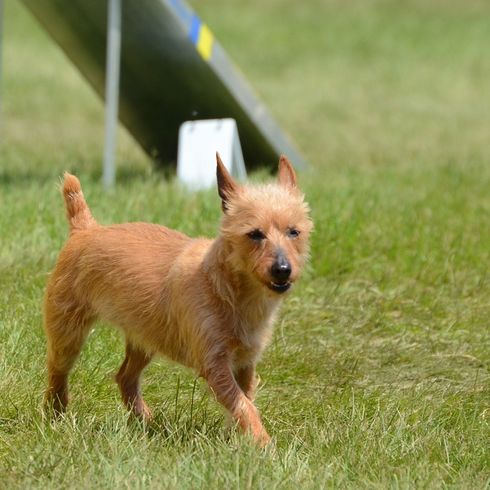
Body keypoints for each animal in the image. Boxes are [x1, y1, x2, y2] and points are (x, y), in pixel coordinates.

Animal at [44, 153, 312, 444]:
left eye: (294, 232)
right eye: (254, 234)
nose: (283, 269)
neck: (231, 290)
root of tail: (86, 229)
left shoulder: (245, 363)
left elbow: (245, 399)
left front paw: (239, 439)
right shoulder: (215, 364)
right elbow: (243, 404)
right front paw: (264, 444)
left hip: (145, 337)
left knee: (125, 376)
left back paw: (146, 421)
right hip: (68, 331)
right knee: (58, 370)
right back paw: (55, 413)